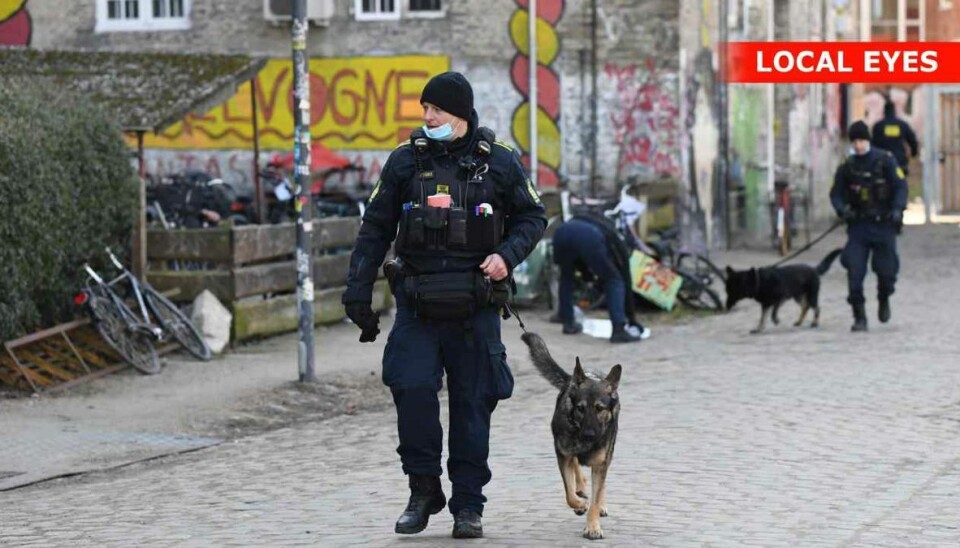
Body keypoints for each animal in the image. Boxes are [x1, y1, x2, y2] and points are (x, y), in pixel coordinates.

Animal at [520, 330, 620, 540]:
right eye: (580, 408)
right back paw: (581, 489)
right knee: (576, 469)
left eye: (600, 409)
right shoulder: (563, 455)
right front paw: (580, 504)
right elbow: (569, 494)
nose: (589, 435)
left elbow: (596, 496)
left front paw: (593, 526)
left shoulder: (601, 463)